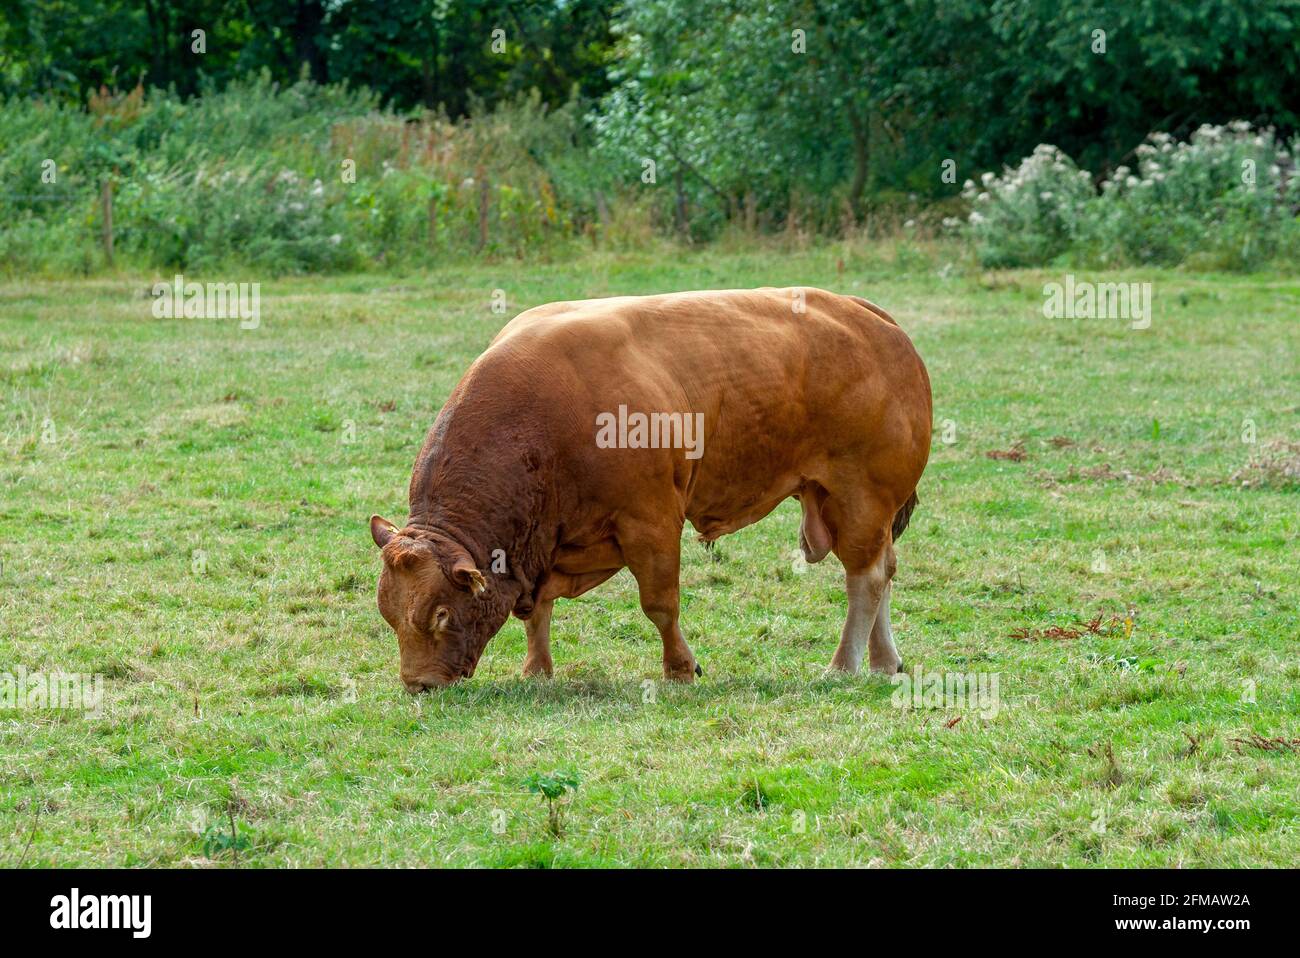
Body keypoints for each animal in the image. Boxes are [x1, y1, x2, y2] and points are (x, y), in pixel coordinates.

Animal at [371, 287, 930, 691]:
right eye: (390, 616)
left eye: (441, 615)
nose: (419, 684)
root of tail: (866, 315)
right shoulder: (544, 544)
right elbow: (538, 612)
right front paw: (536, 670)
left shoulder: (651, 522)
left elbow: (660, 605)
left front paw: (679, 668)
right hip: (844, 504)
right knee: (883, 569)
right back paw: (884, 659)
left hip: (859, 497)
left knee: (866, 579)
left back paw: (845, 663)